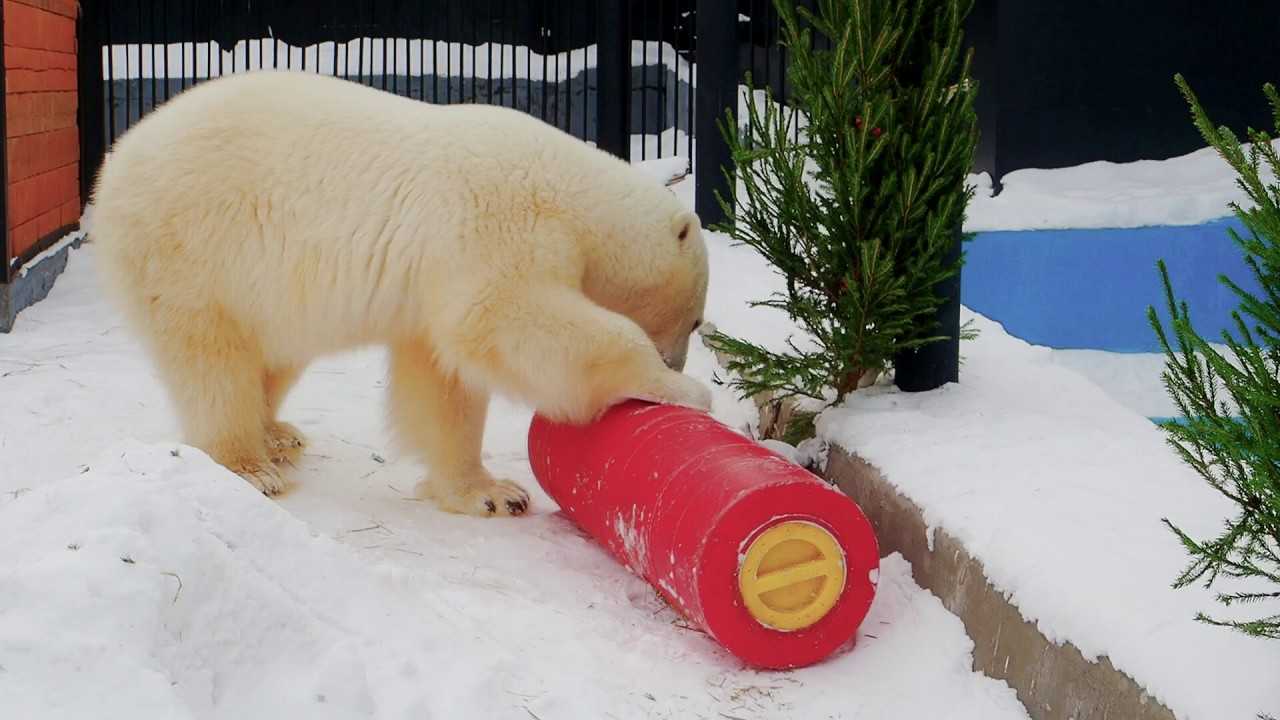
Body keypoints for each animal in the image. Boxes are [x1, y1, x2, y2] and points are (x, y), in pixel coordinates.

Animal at [90, 70, 711, 512]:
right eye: (697, 321)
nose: (674, 359)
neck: (567, 190)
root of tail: (114, 167)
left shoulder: (436, 276)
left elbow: (442, 379)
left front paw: (490, 493)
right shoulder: (495, 225)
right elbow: (505, 319)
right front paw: (682, 390)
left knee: (275, 355)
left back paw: (278, 435)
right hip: (193, 251)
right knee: (212, 363)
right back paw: (250, 464)